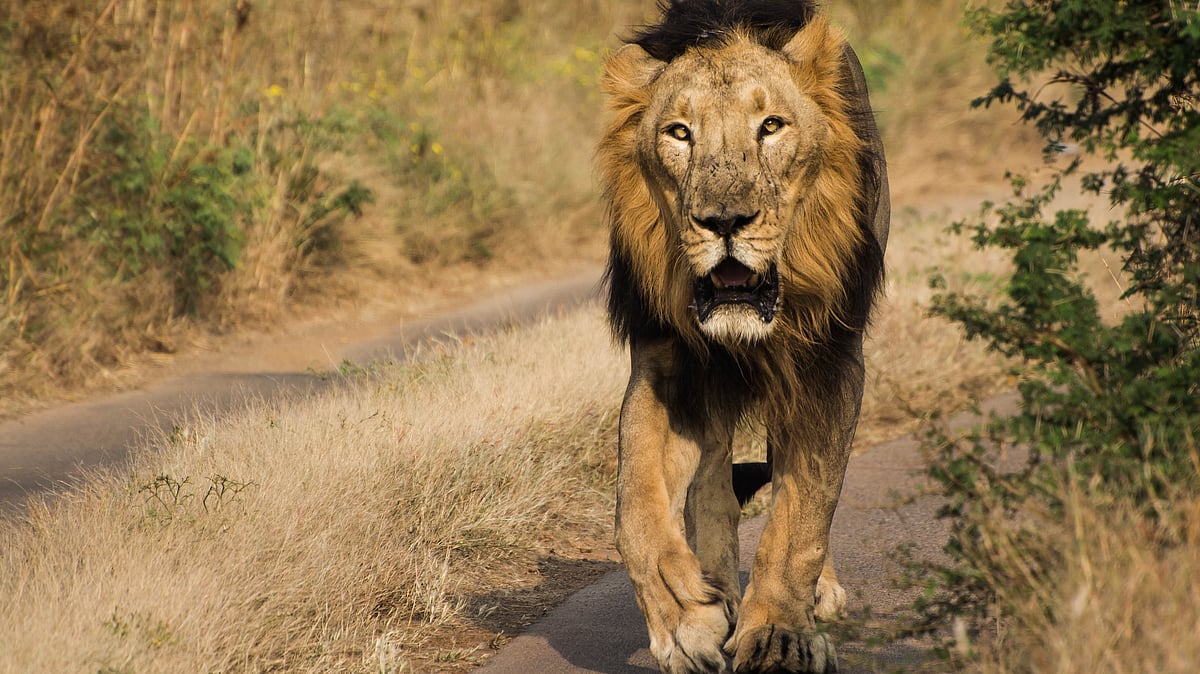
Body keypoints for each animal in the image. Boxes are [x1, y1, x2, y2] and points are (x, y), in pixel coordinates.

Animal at [597, 1, 889, 672]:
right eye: (680, 132)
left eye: (771, 126)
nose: (725, 221)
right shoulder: (666, 360)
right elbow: (635, 511)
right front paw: (687, 623)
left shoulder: (829, 361)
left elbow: (802, 513)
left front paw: (778, 633)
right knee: (709, 488)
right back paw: (718, 586)